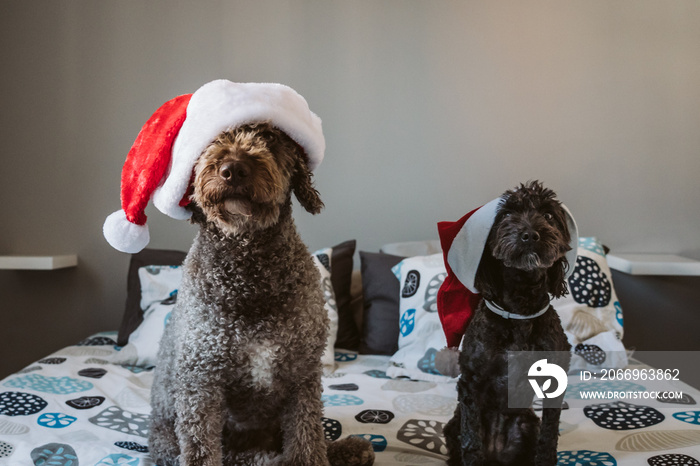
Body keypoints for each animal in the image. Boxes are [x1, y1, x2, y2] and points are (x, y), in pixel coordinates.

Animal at [446, 181, 572, 466]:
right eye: (506, 215)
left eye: (548, 215)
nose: (530, 235)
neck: (520, 309)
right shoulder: (471, 381)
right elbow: (471, 442)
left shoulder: (556, 380)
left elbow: (549, 436)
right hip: (453, 424)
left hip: (527, 424)